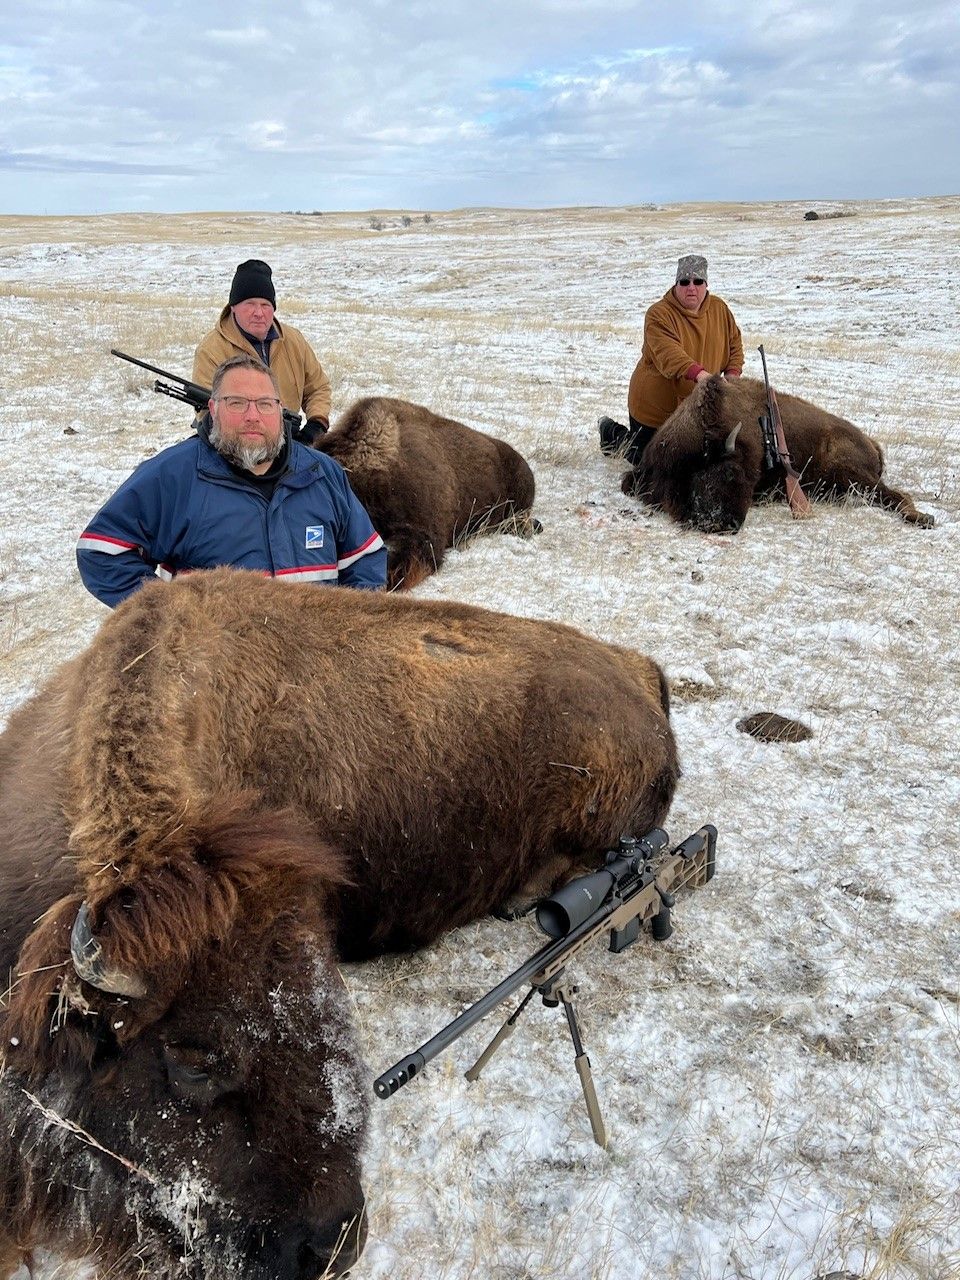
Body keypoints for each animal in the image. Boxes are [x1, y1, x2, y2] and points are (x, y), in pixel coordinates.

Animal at [620, 375, 933, 533]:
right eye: (726, 472)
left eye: (738, 474)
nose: (725, 523)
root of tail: (872, 443)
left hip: (853, 475)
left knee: (895, 496)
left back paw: (922, 519)